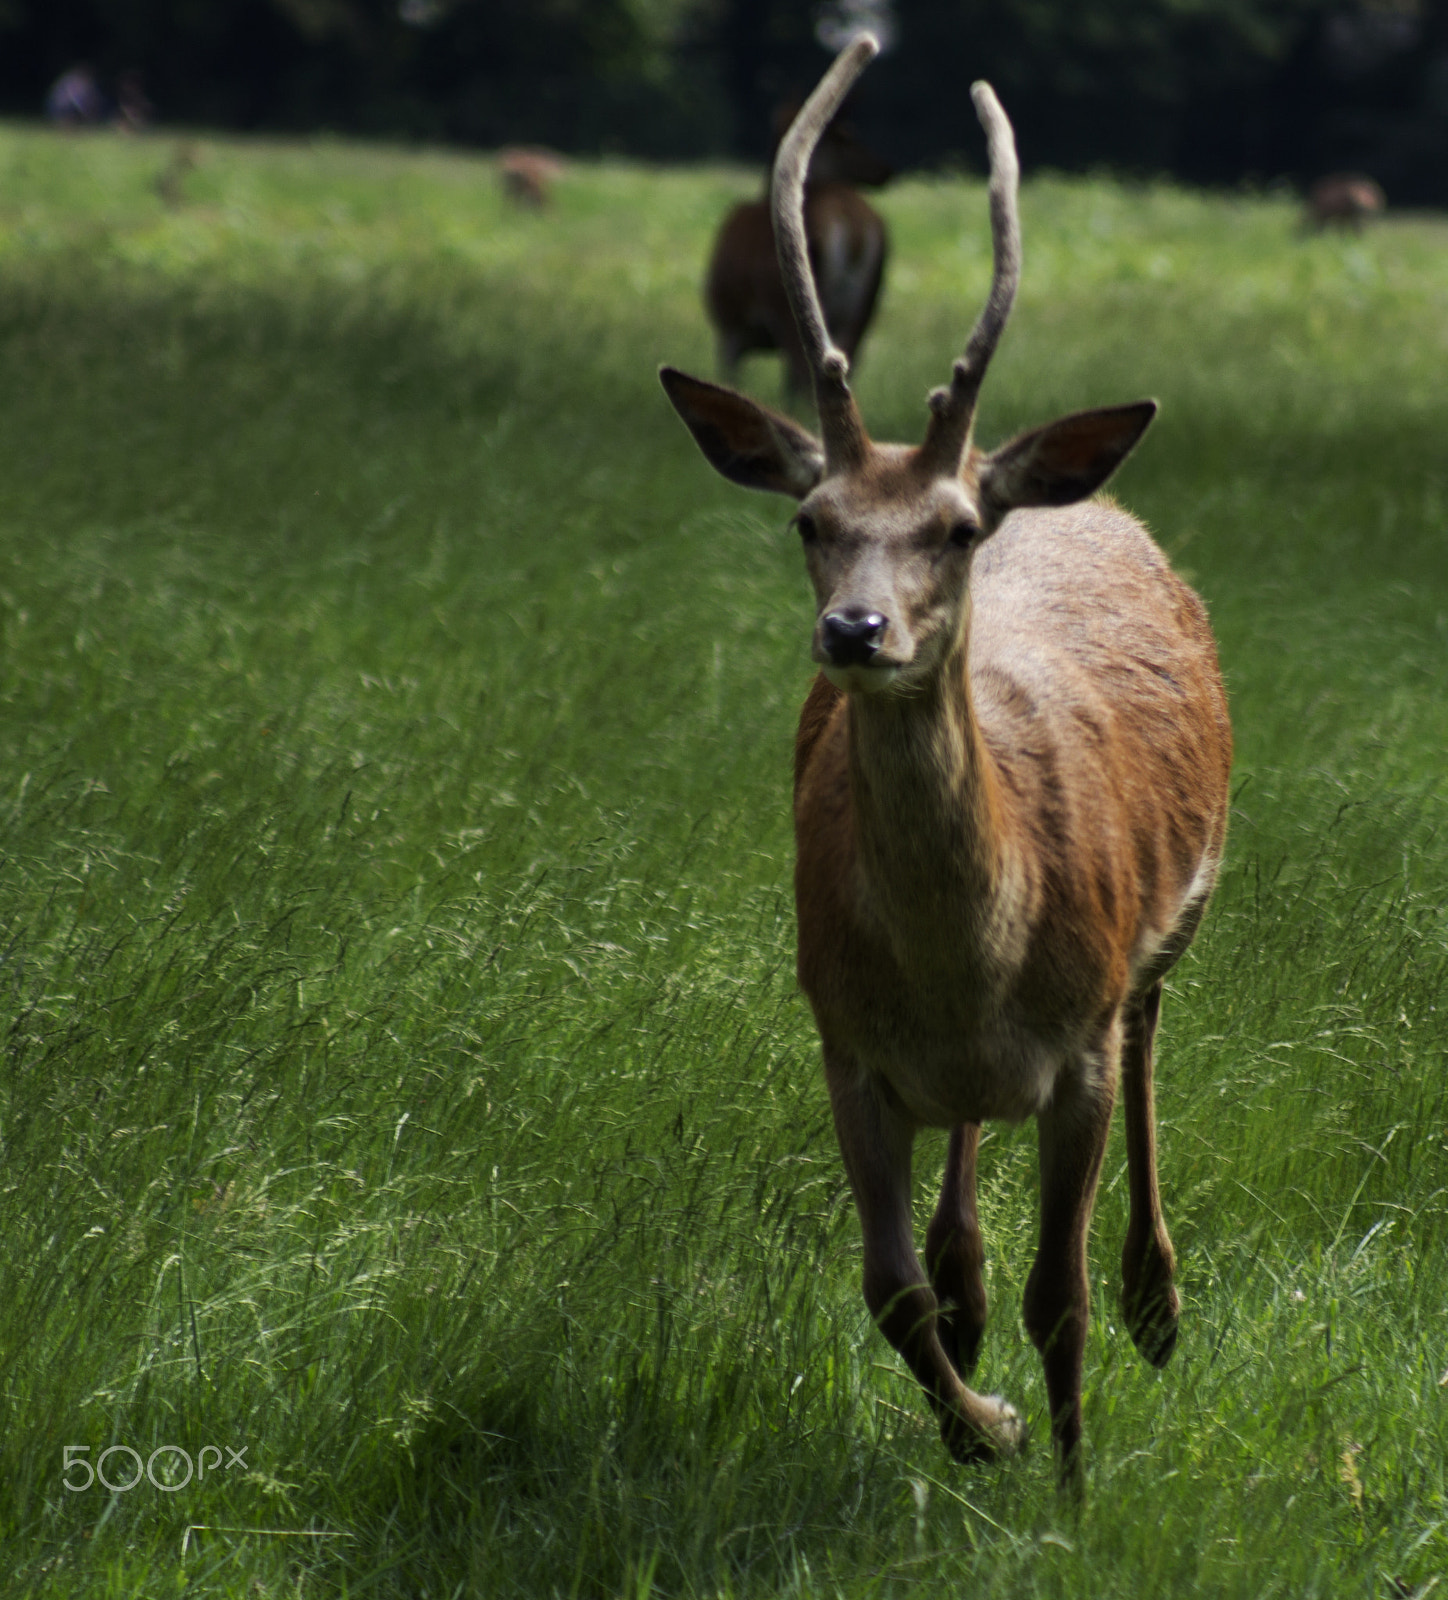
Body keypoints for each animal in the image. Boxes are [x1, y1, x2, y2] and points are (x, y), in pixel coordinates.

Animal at [704, 96, 889, 400]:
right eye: (845, 137)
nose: (886, 170)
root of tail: (853, 231)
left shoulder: (728, 324)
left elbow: (730, 378)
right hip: (866, 307)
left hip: (784, 306)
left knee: (802, 373)